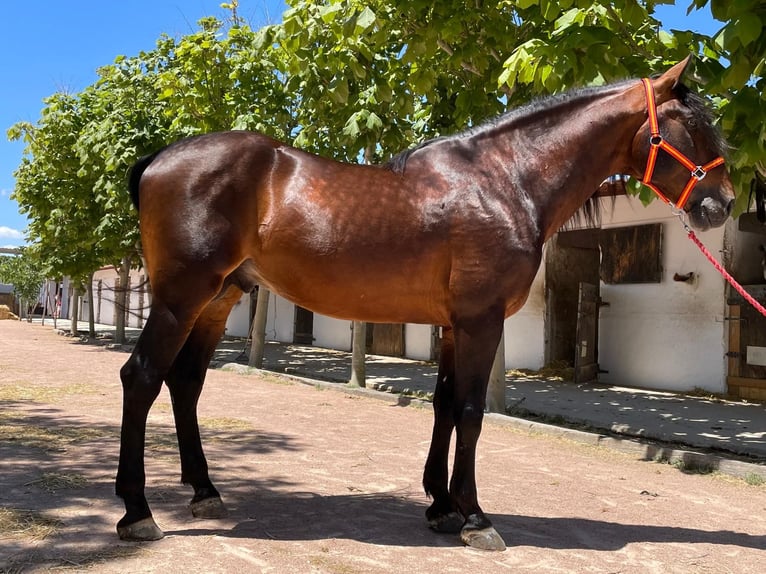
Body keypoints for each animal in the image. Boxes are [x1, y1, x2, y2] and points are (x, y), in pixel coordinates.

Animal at [117, 56, 736, 552]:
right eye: (693, 126)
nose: (723, 204)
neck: (506, 180)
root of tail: (159, 159)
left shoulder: (454, 326)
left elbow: (443, 406)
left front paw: (441, 507)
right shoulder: (482, 321)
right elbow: (471, 411)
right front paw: (477, 518)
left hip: (217, 301)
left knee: (186, 383)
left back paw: (204, 492)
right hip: (180, 299)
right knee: (142, 376)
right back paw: (137, 513)